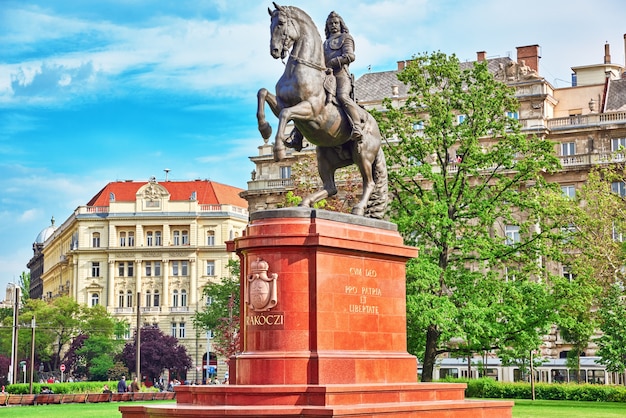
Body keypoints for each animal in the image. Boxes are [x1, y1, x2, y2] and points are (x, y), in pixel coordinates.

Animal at [255, 3, 386, 219]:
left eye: (281, 23)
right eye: (270, 25)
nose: (275, 50)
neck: (302, 70)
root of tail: (377, 129)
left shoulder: (310, 109)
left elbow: (285, 114)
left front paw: (279, 149)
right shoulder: (282, 104)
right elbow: (263, 93)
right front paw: (266, 129)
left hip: (363, 154)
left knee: (370, 182)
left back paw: (358, 209)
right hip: (324, 156)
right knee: (331, 187)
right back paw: (305, 203)